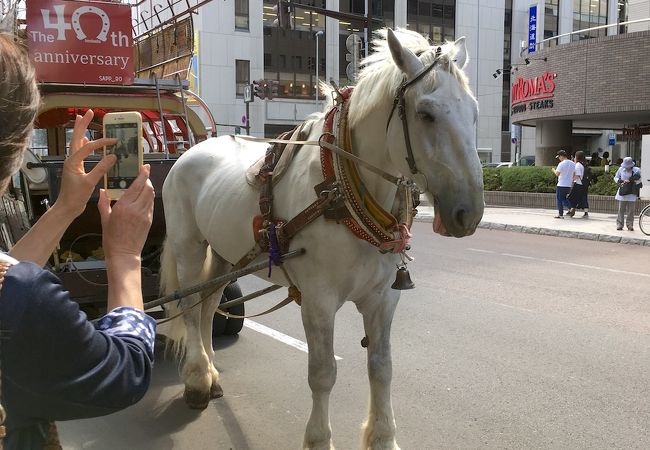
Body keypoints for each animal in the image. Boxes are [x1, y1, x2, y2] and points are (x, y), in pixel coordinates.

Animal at [159, 29, 478, 450]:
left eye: (473, 113)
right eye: (426, 114)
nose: (469, 212)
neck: (342, 189)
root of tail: (191, 150)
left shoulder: (383, 297)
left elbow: (382, 367)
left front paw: (382, 436)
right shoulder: (318, 299)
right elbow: (323, 373)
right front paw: (318, 438)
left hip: (226, 254)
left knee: (210, 305)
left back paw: (210, 373)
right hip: (189, 246)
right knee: (192, 308)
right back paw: (197, 379)